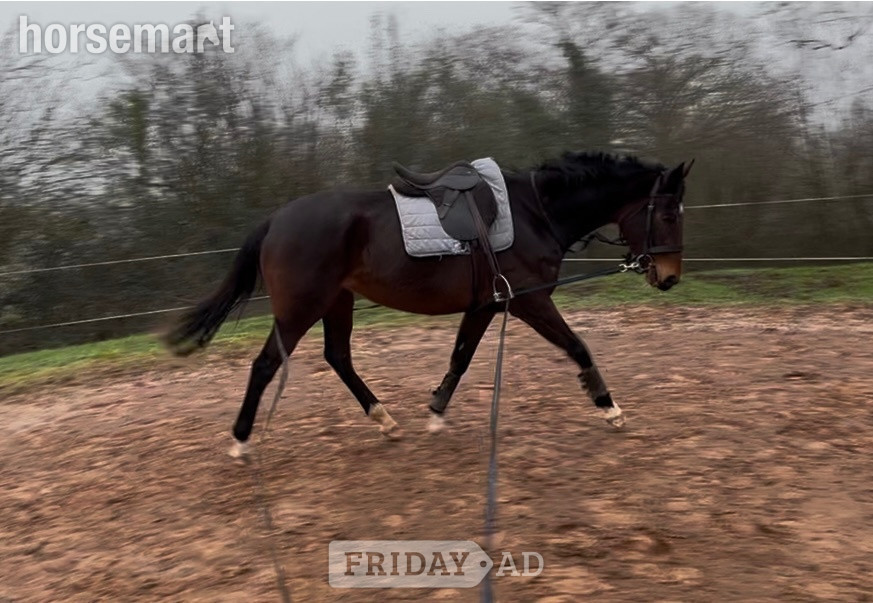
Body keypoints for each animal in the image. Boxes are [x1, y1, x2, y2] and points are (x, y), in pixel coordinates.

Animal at [164, 151, 691, 457]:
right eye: (667, 213)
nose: (669, 278)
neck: (535, 211)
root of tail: (276, 220)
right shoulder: (530, 302)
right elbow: (578, 346)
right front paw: (609, 407)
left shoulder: (486, 305)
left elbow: (460, 358)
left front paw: (436, 411)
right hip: (301, 308)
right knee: (266, 365)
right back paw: (241, 440)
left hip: (337, 301)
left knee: (338, 357)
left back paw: (385, 420)